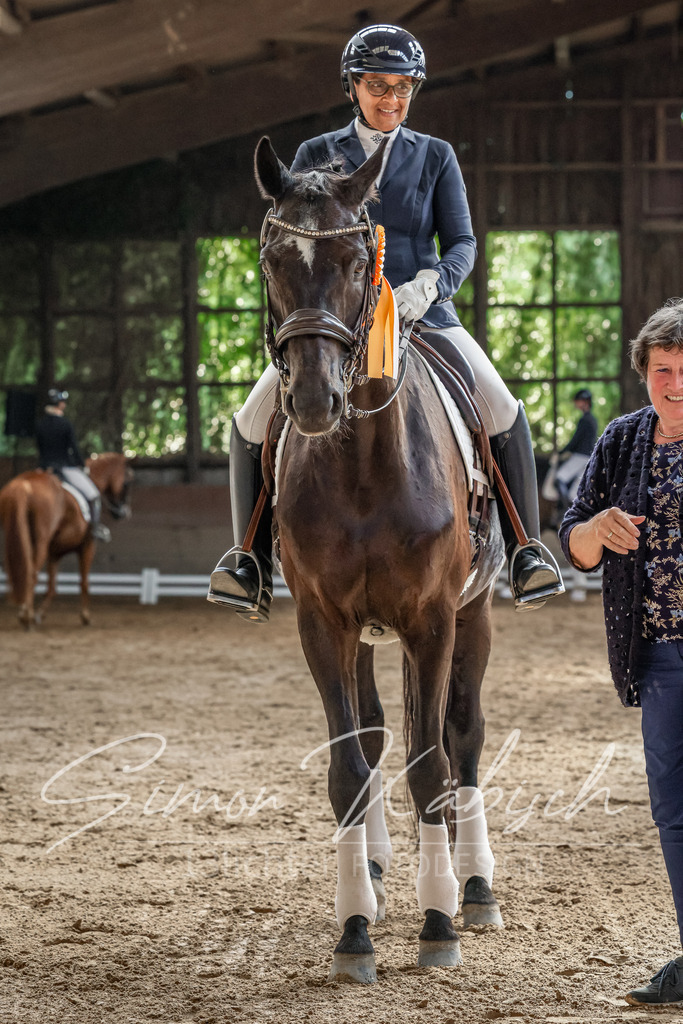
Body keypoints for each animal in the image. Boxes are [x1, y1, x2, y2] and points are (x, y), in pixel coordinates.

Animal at [0, 453, 132, 629]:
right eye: (127, 483)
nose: (123, 512)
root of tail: (24, 483)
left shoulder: (55, 552)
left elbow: (52, 586)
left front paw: (40, 614)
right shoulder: (87, 546)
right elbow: (84, 582)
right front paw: (85, 616)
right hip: (40, 542)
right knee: (30, 573)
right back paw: (26, 617)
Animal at [253, 136, 508, 984]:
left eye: (359, 258)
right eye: (271, 259)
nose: (313, 401)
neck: (362, 461)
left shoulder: (431, 619)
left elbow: (431, 763)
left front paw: (438, 922)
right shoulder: (321, 621)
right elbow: (347, 768)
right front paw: (354, 928)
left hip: (474, 613)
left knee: (462, 737)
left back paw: (473, 885)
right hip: (365, 634)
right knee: (370, 739)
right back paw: (373, 870)